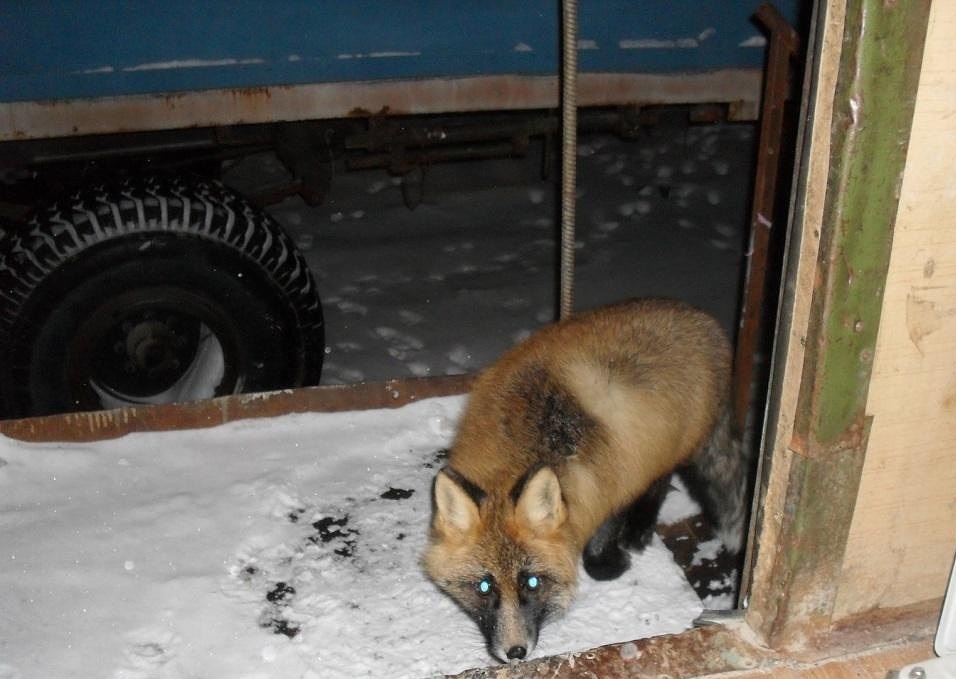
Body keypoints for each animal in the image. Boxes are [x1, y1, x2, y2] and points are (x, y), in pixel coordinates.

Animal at [422, 298, 752, 664]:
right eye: (484, 587)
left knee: (659, 483)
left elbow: (598, 548)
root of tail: (698, 315)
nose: (516, 652)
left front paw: (611, 565)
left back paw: (639, 530)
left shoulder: (613, 484)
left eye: (533, 583)